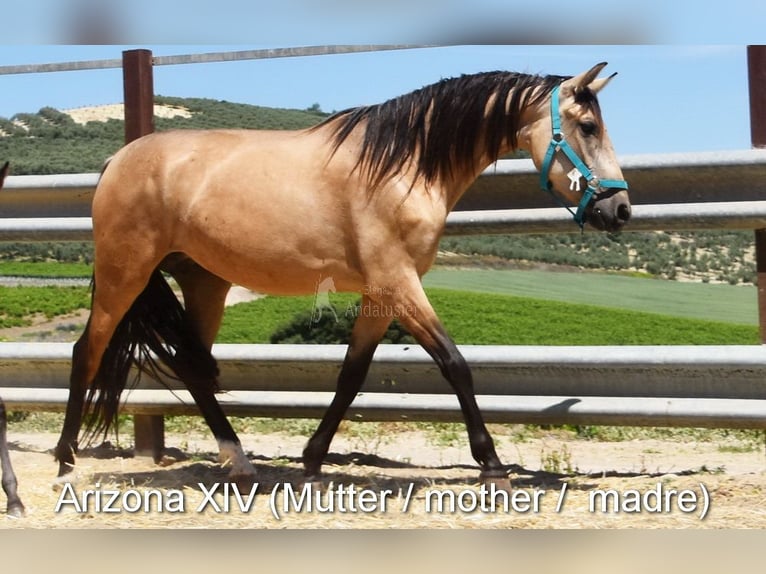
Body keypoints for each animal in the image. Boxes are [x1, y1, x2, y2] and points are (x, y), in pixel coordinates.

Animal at [54, 62, 630, 486]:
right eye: (587, 126)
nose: (620, 209)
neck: (403, 166)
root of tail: (117, 161)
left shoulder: (380, 293)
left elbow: (352, 375)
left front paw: (312, 458)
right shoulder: (399, 282)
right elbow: (455, 364)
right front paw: (491, 465)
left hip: (205, 283)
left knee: (193, 369)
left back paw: (239, 461)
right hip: (124, 274)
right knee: (88, 352)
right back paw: (65, 458)